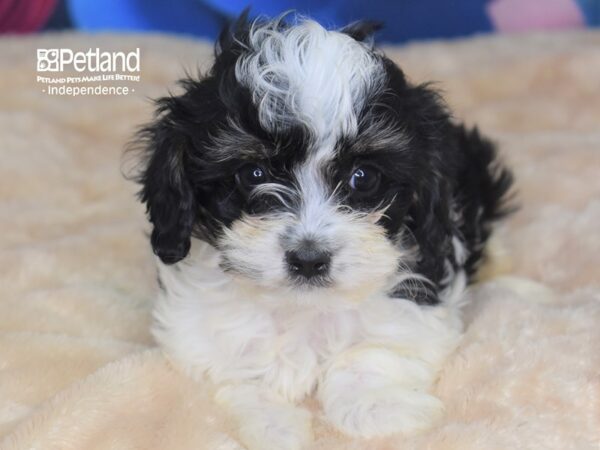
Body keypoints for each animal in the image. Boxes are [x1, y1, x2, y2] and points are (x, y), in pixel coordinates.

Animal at [130, 14, 510, 450]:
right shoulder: (198, 337)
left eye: (363, 177)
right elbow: (241, 374)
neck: (301, 309)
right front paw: (274, 426)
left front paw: (376, 408)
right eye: (253, 173)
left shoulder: (417, 304)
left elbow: (371, 352)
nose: (309, 259)